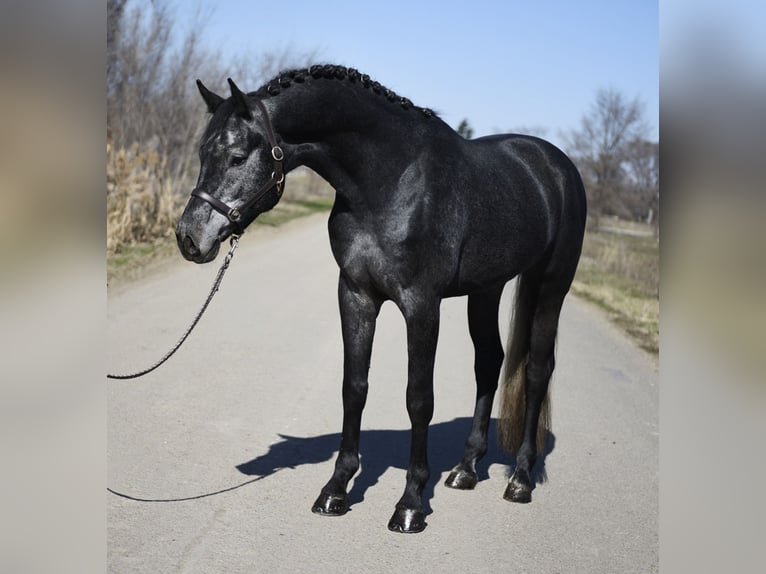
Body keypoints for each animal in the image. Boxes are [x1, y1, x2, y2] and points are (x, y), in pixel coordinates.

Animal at [175, 65, 586, 533]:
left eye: (238, 156)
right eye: (203, 153)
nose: (189, 238)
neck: (389, 182)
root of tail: (557, 165)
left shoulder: (421, 304)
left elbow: (418, 398)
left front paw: (410, 504)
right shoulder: (355, 294)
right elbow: (354, 388)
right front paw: (336, 490)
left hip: (551, 284)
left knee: (536, 371)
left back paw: (519, 479)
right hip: (487, 289)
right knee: (489, 362)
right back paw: (465, 470)